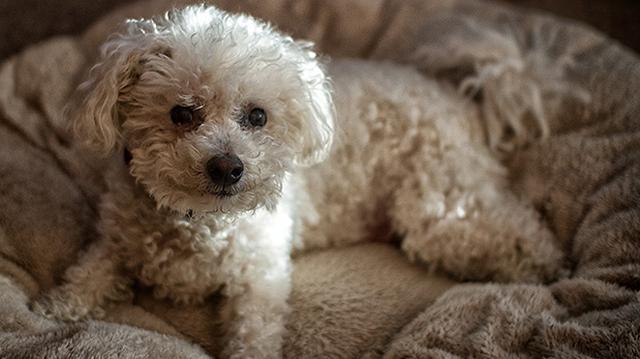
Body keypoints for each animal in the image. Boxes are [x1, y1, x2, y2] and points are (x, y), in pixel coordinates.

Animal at [35, 4, 564, 359]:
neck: (198, 221)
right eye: (182, 113)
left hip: (438, 205)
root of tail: (460, 98)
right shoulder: (115, 241)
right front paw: (52, 309)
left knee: (517, 223)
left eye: (257, 116)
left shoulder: (260, 276)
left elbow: (254, 332)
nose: (227, 167)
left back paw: (548, 266)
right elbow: (88, 273)